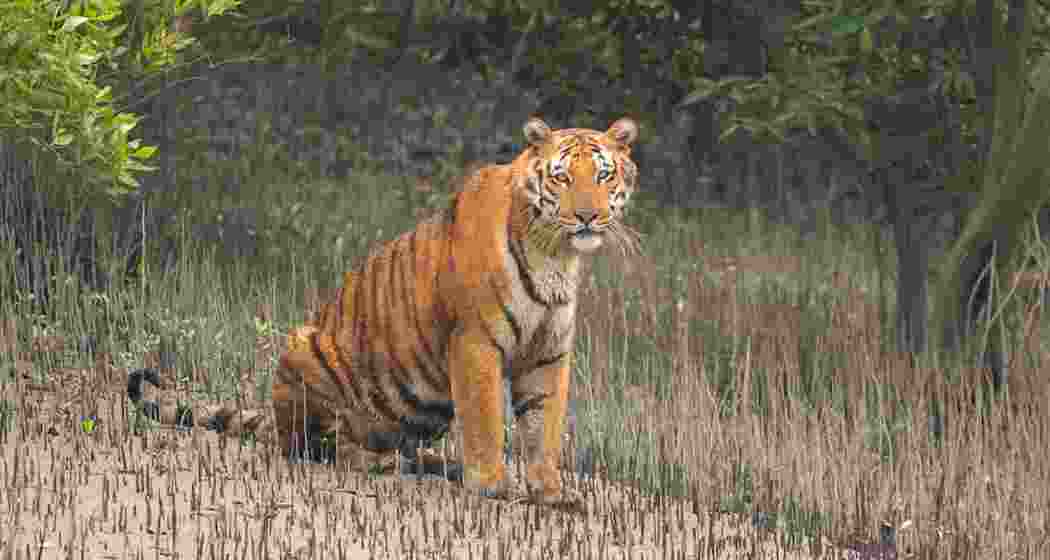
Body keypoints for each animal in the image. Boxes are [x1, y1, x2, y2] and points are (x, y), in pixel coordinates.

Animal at [128, 116, 640, 507]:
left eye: (602, 175)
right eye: (562, 177)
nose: (587, 217)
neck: (556, 254)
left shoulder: (548, 353)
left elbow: (543, 427)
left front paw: (550, 492)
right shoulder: (475, 342)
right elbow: (485, 419)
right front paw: (491, 485)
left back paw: (431, 463)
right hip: (304, 351)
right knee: (312, 446)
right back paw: (373, 461)